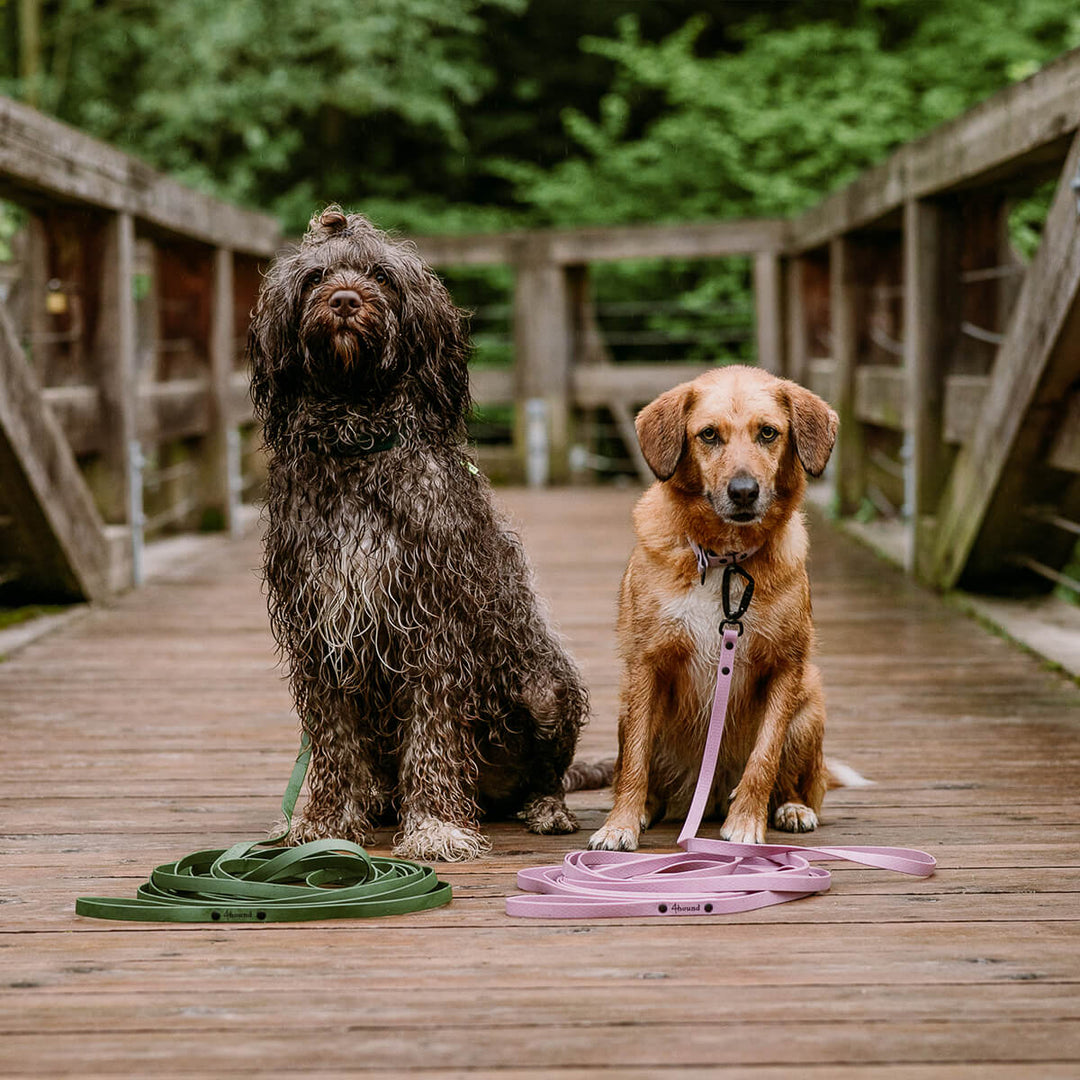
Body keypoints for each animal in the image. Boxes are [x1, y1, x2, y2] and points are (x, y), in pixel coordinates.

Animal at [248, 204, 596, 859]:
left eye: (381, 275)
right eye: (315, 277)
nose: (345, 300)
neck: (356, 447)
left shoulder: (434, 622)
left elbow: (434, 734)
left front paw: (436, 826)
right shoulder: (320, 629)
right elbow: (333, 741)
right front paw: (326, 824)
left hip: (543, 690)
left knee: (548, 774)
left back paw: (544, 808)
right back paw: (377, 800)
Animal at [591, 365, 842, 851]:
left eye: (768, 432)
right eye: (709, 434)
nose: (744, 492)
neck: (725, 558)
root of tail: (702, 796)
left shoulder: (786, 666)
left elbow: (764, 758)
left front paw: (746, 823)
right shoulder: (646, 665)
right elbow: (634, 760)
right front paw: (620, 824)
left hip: (810, 707)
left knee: (800, 781)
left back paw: (791, 807)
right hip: (628, 706)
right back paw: (647, 807)